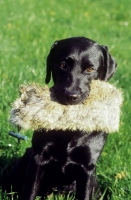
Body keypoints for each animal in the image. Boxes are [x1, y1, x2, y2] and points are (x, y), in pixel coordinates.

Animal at [7, 36, 116, 199]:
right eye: (62, 65)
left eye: (90, 69)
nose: (71, 95)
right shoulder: (38, 158)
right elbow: (30, 191)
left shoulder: (88, 168)